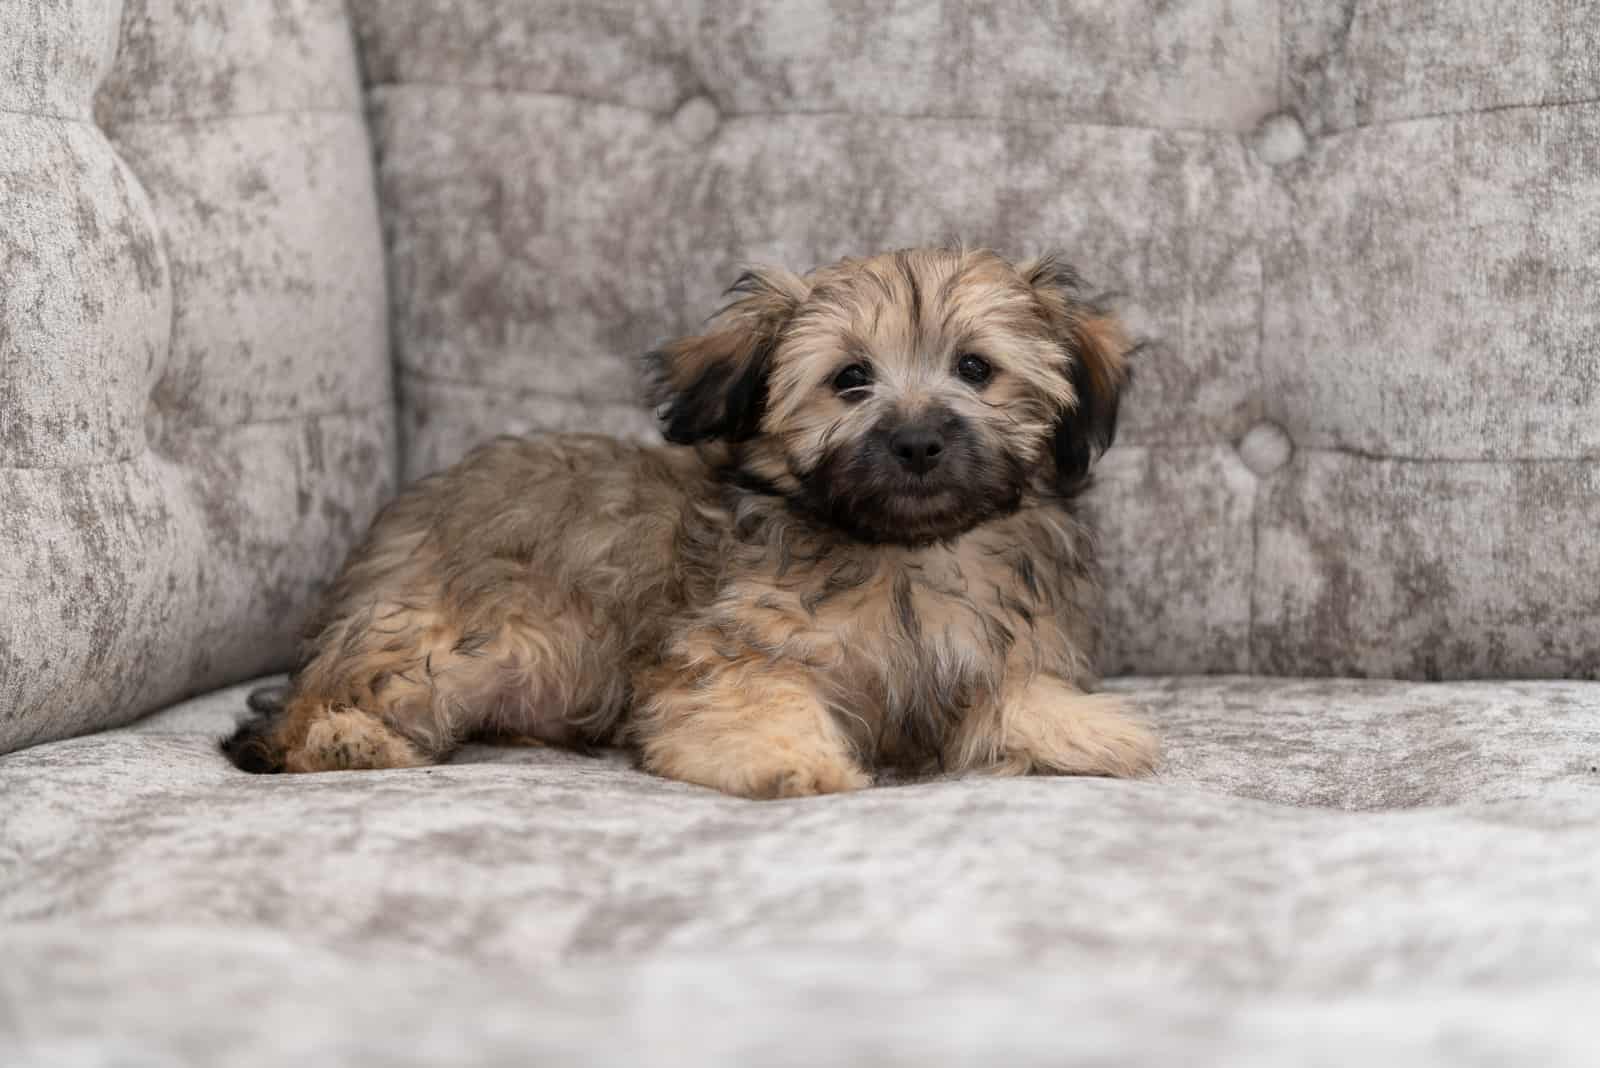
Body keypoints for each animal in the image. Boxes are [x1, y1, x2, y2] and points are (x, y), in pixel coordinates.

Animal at [219, 247, 1158, 793]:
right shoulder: (731, 651)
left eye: (975, 368)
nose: (918, 441)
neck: (901, 551)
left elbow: (1011, 692)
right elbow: (753, 704)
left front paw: (1086, 728)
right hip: (446, 642)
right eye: (851, 379)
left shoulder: (981, 651)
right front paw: (792, 759)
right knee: (293, 716)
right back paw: (347, 740)